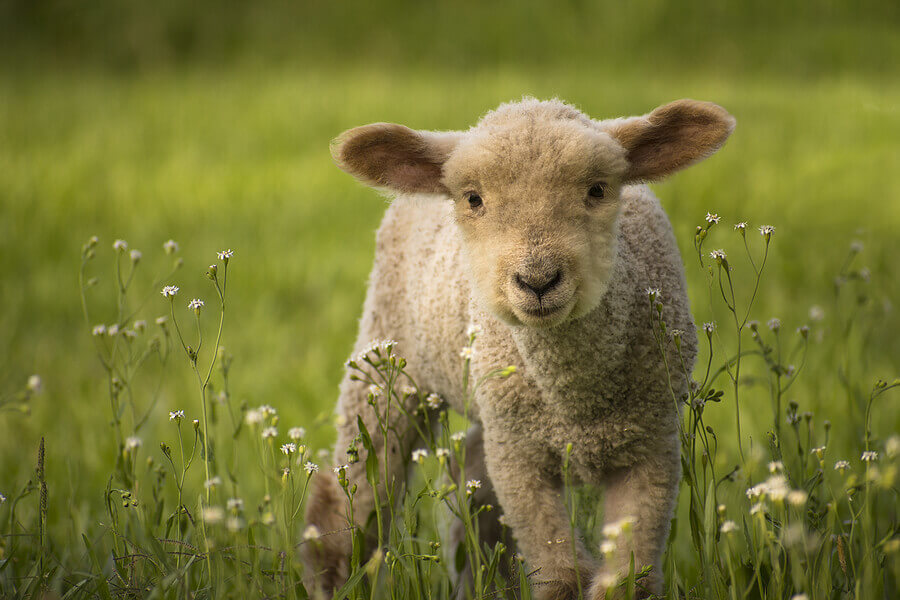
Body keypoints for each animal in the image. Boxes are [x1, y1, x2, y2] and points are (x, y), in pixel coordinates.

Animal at [303, 98, 735, 599]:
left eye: (597, 189)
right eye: (473, 199)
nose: (538, 280)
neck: (575, 403)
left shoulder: (651, 444)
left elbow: (631, 582)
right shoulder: (518, 457)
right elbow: (563, 578)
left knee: (473, 480)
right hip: (389, 356)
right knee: (356, 493)